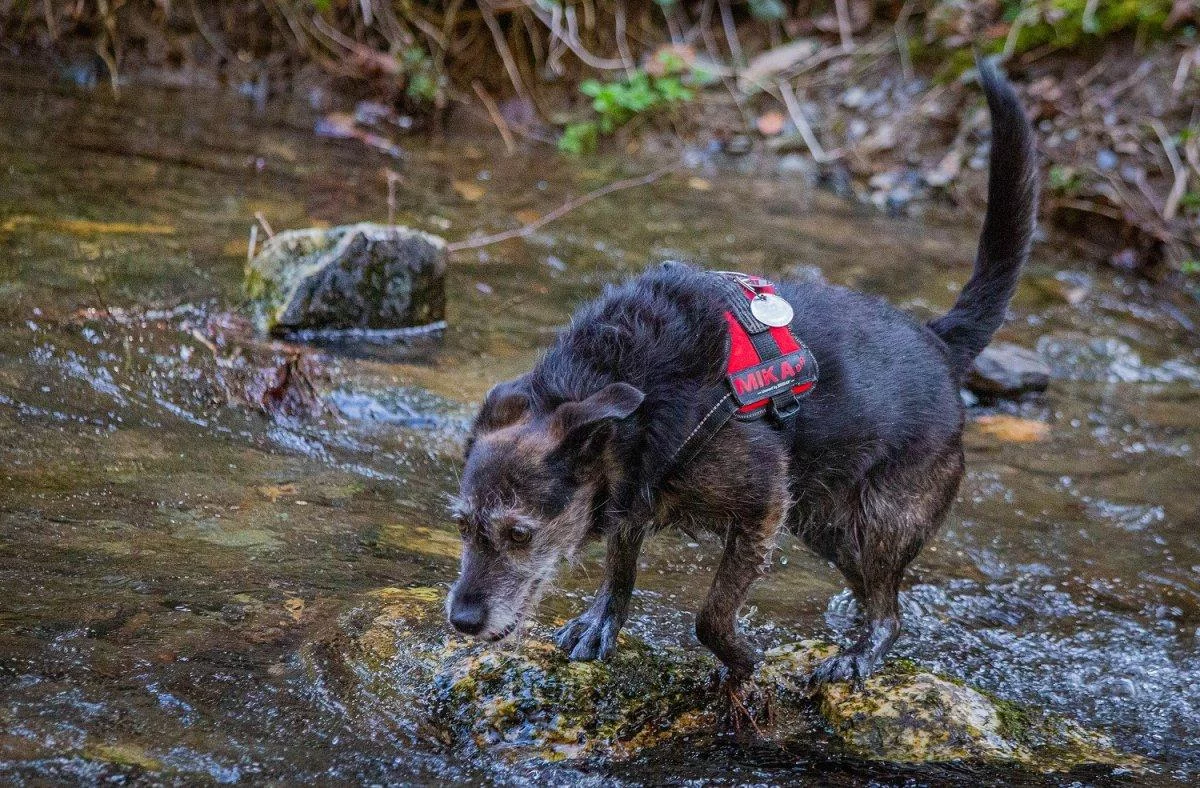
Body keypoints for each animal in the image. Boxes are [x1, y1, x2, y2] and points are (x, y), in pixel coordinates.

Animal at [446, 58, 1036, 690]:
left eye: (520, 534)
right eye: (462, 526)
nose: (461, 620)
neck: (632, 379)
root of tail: (939, 341)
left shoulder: (760, 507)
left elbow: (710, 614)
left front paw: (741, 661)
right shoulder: (637, 491)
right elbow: (620, 562)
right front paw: (602, 621)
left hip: (881, 517)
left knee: (888, 612)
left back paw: (858, 652)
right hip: (823, 522)